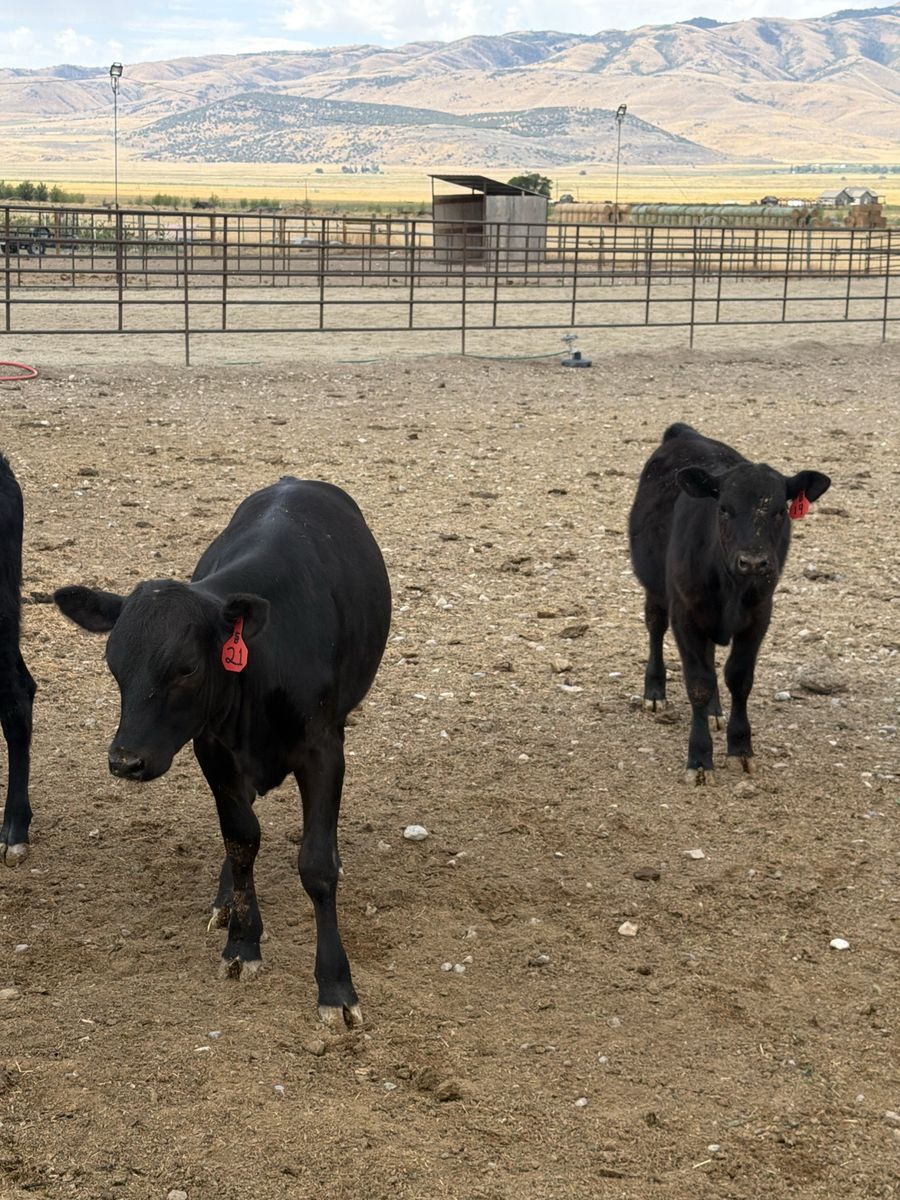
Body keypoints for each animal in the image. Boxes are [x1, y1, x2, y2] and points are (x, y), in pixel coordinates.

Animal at [55, 478, 391, 1026]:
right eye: (113, 663)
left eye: (187, 667)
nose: (125, 760)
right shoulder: (212, 750)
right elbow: (240, 842)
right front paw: (242, 942)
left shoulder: (323, 749)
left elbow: (316, 864)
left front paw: (335, 985)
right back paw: (225, 900)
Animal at [628, 423, 830, 784]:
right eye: (723, 508)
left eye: (780, 510)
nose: (753, 562)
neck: (731, 588)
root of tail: (685, 432)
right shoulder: (685, 615)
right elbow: (698, 684)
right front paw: (699, 759)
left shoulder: (759, 616)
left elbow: (738, 678)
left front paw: (740, 748)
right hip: (655, 587)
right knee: (654, 625)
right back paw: (654, 693)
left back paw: (714, 713)